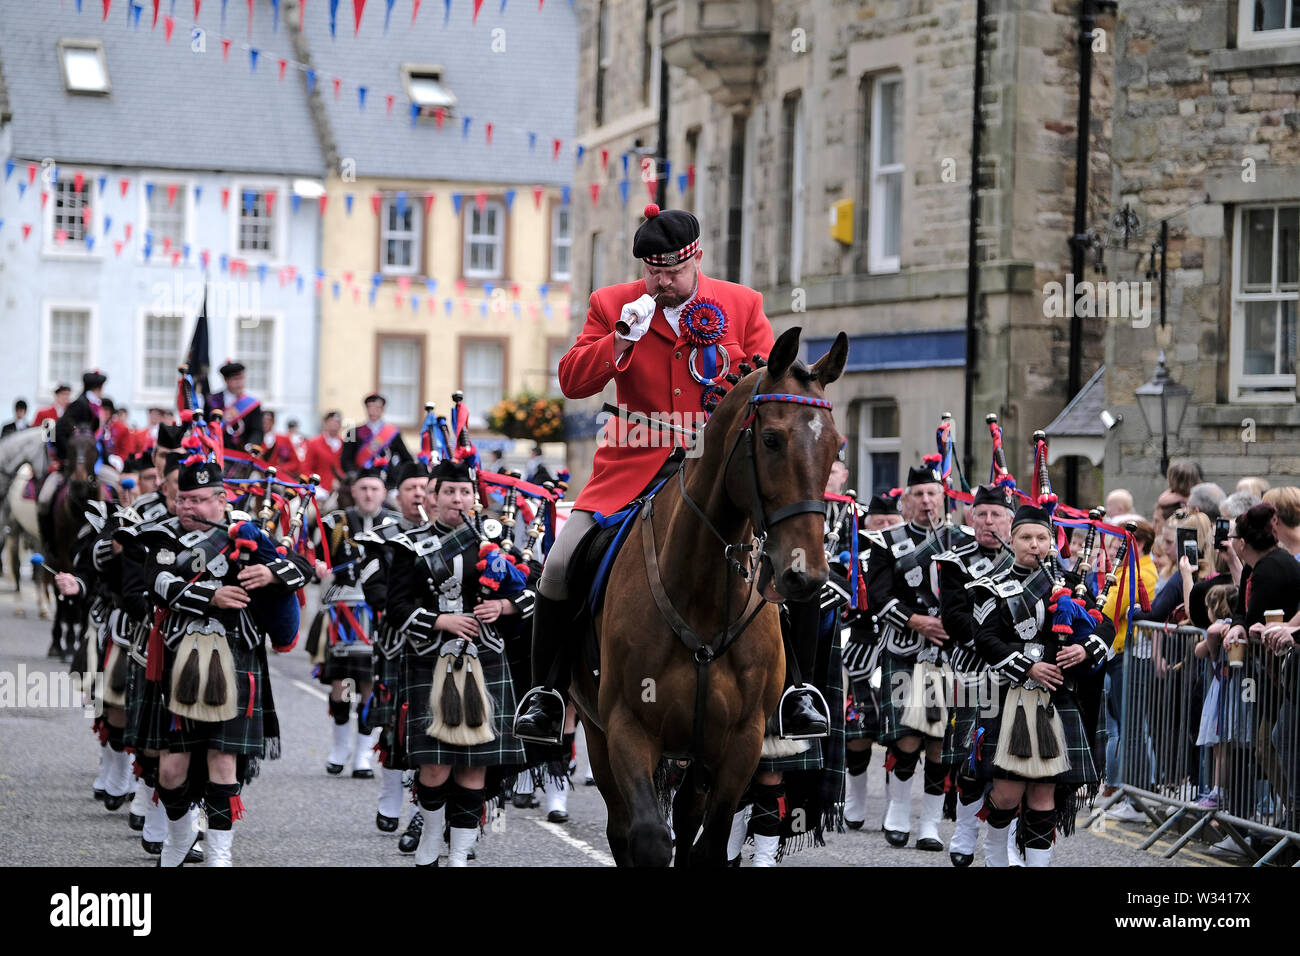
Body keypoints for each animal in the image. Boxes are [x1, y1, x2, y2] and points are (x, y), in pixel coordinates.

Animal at [574, 327, 847, 868]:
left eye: (834, 444)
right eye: (771, 439)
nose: (804, 575)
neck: (701, 596)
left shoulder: (740, 742)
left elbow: (710, 844)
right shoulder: (627, 727)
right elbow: (648, 839)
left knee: (687, 818)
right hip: (597, 734)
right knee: (621, 828)